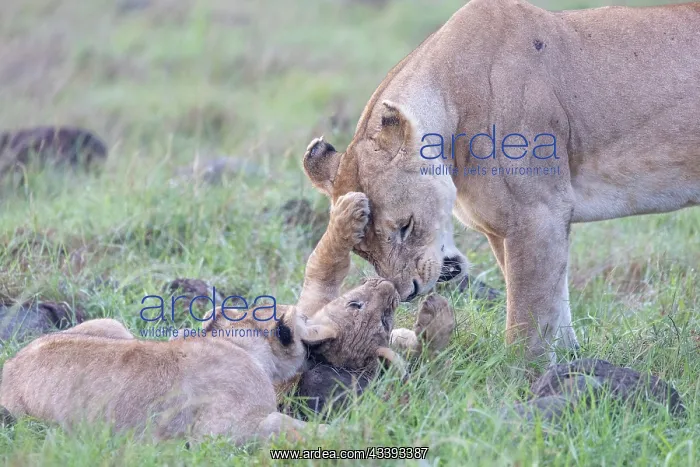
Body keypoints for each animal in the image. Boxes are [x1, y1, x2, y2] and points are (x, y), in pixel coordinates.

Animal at [303, 0, 700, 360]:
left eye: (405, 226)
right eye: (362, 250)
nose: (409, 292)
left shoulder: (537, 214)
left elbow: (526, 318)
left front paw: (529, 380)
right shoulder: (504, 227)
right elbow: (552, 306)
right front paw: (570, 363)